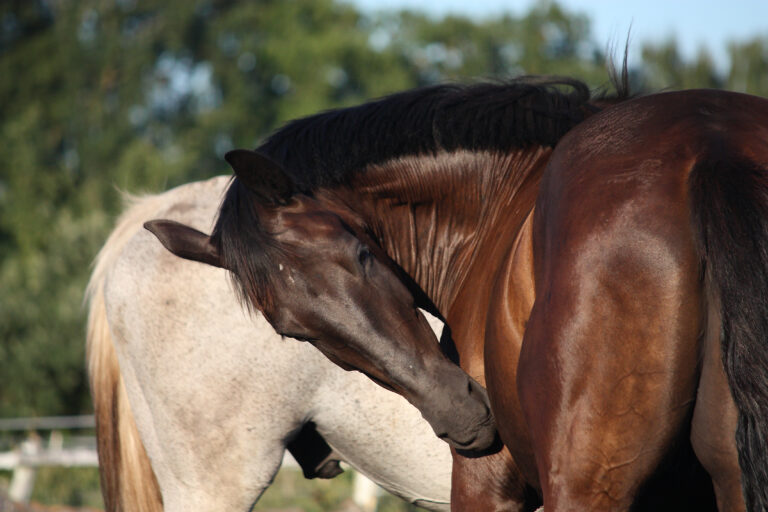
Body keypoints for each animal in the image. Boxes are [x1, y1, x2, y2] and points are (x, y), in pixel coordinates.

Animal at [148, 85, 768, 510]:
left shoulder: (484, 483)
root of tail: (708, 145)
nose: (462, 418)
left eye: (362, 255)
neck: (503, 196)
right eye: (294, 331)